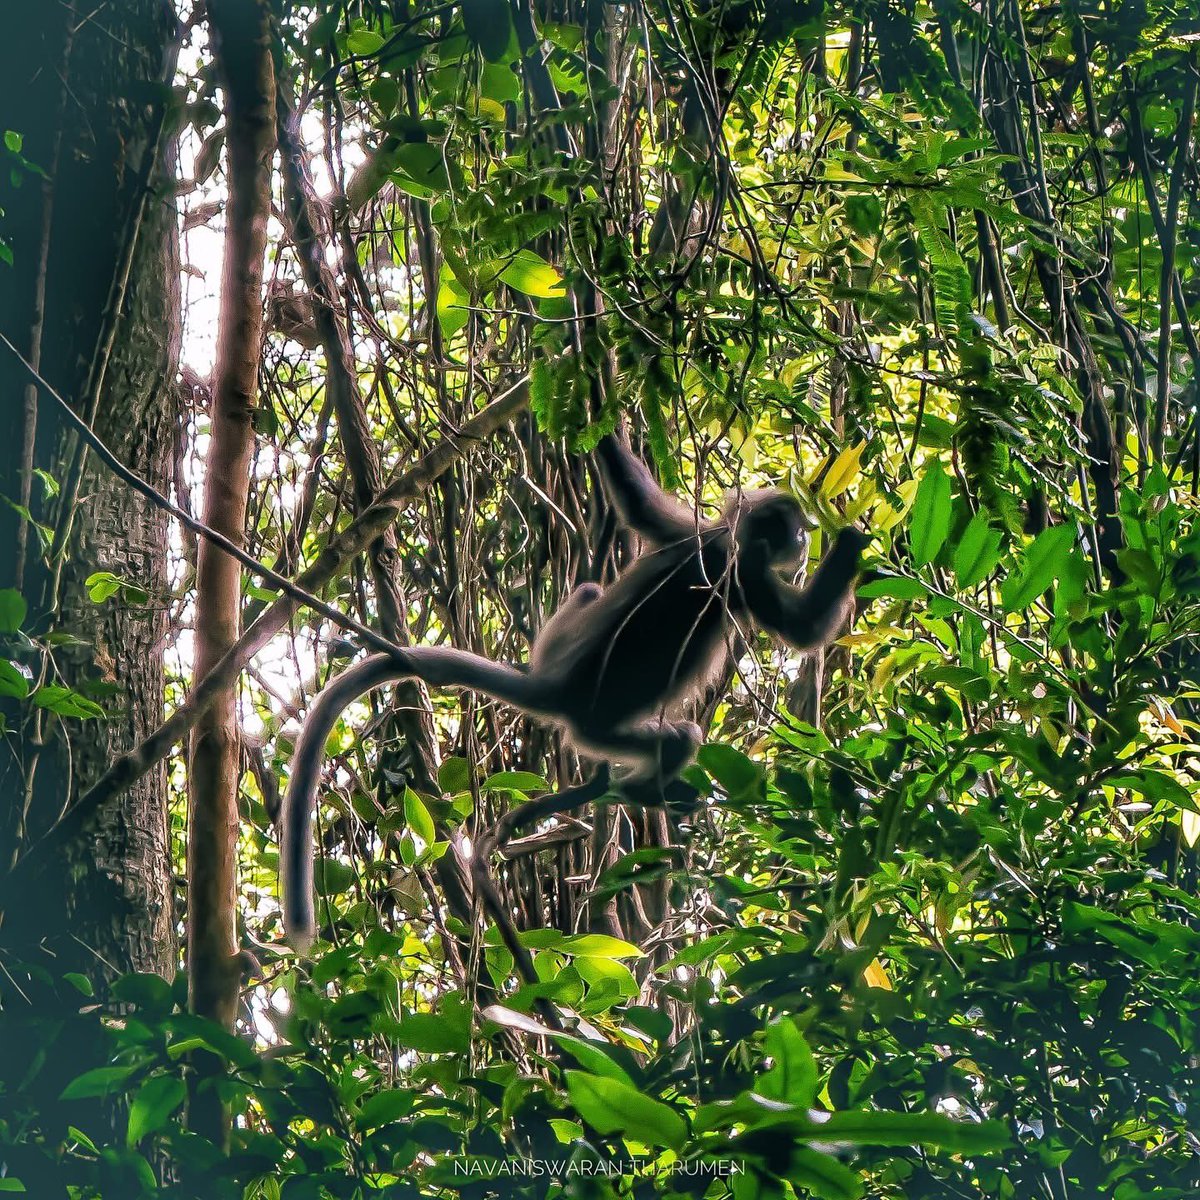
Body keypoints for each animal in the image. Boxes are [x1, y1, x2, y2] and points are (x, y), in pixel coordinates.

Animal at [280, 434, 869, 949]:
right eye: (795, 532)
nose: (805, 540)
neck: (726, 543)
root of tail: (556, 689)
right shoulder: (744, 572)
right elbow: (805, 630)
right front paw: (850, 545)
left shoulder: (694, 531)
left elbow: (637, 503)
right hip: (601, 730)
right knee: (681, 737)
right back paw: (643, 792)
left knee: (587, 588)